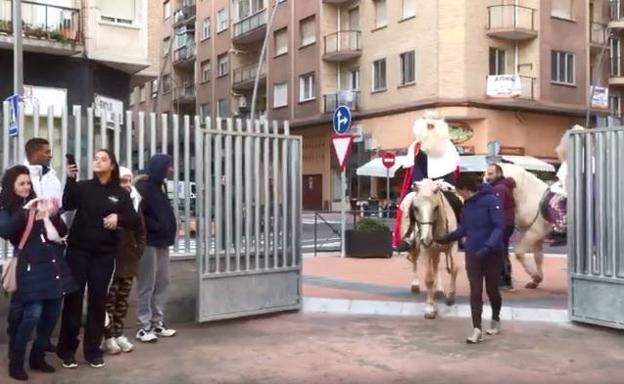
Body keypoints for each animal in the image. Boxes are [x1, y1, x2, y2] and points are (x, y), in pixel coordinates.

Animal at [402, 179, 460, 318]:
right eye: (415, 208)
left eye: (436, 208)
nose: (427, 239)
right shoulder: (425, 249)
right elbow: (428, 278)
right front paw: (429, 309)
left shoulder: (453, 245)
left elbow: (454, 269)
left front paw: (451, 296)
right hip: (418, 247)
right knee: (415, 261)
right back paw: (415, 285)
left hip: (436, 250)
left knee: (436, 265)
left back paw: (438, 289)